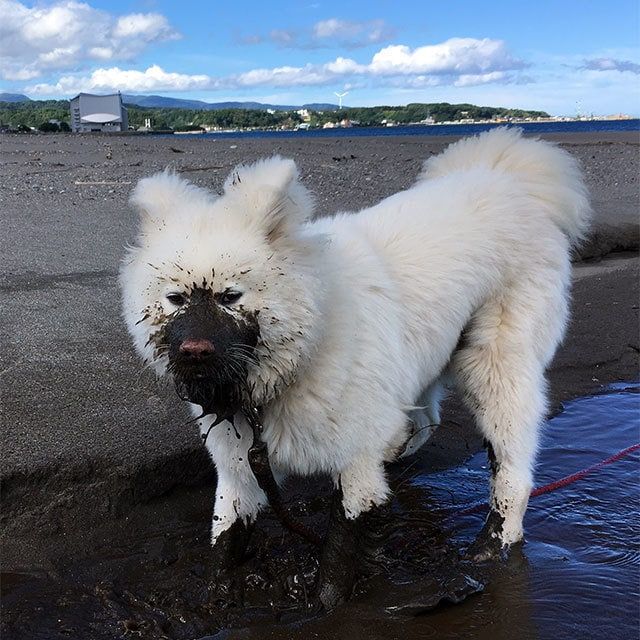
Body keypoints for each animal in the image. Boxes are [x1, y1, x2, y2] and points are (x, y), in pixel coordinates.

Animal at [120, 129, 592, 600]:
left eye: (230, 296)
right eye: (175, 298)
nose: (194, 351)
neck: (306, 345)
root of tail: (510, 179)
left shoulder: (355, 466)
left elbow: (336, 562)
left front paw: (327, 602)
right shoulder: (240, 470)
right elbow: (225, 539)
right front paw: (217, 595)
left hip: (494, 368)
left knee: (513, 470)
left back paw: (493, 545)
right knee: (427, 416)